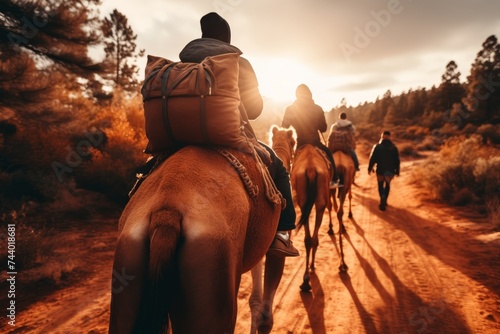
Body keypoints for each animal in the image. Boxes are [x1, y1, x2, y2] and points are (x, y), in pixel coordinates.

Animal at [292, 145, 332, 290]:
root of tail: (311, 170)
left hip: (305, 203)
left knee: (309, 239)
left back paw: (305, 280)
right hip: (318, 203)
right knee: (312, 239)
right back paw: (307, 277)